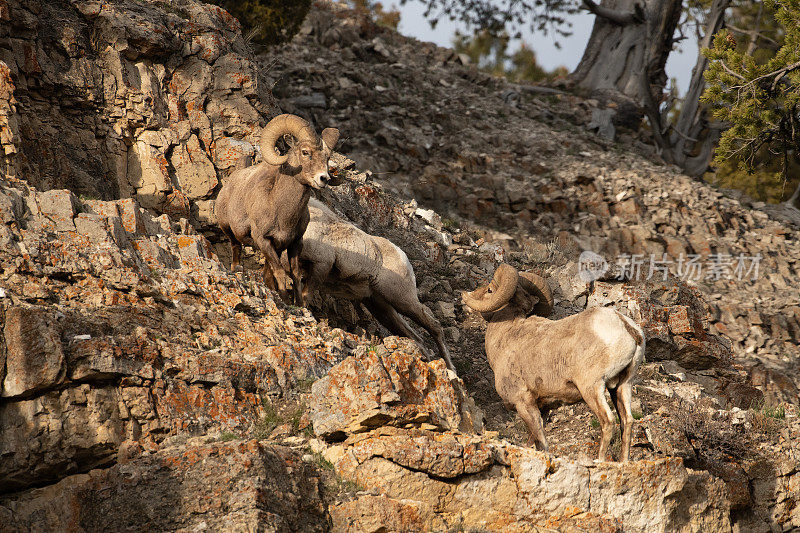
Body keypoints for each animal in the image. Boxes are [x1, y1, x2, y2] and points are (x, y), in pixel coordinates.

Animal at [214, 113, 340, 304]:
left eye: (327, 158)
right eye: (305, 152)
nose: (323, 178)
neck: (282, 213)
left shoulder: (294, 243)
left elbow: (294, 274)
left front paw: (300, 305)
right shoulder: (263, 241)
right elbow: (280, 271)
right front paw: (285, 301)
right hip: (229, 231)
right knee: (236, 249)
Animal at [298, 197, 454, 372]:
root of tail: (404, 258)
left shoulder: (320, 266)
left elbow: (305, 296)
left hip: (401, 300)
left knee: (435, 327)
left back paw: (451, 370)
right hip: (380, 307)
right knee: (415, 338)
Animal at [462, 264, 644, 460]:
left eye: (489, 290)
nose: (467, 294)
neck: (507, 336)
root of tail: (627, 327)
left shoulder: (524, 403)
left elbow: (541, 441)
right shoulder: (543, 408)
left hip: (592, 387)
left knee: (608, 421)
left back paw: (599, 459)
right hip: (622, 386)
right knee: (627, 421)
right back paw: (623, 462)